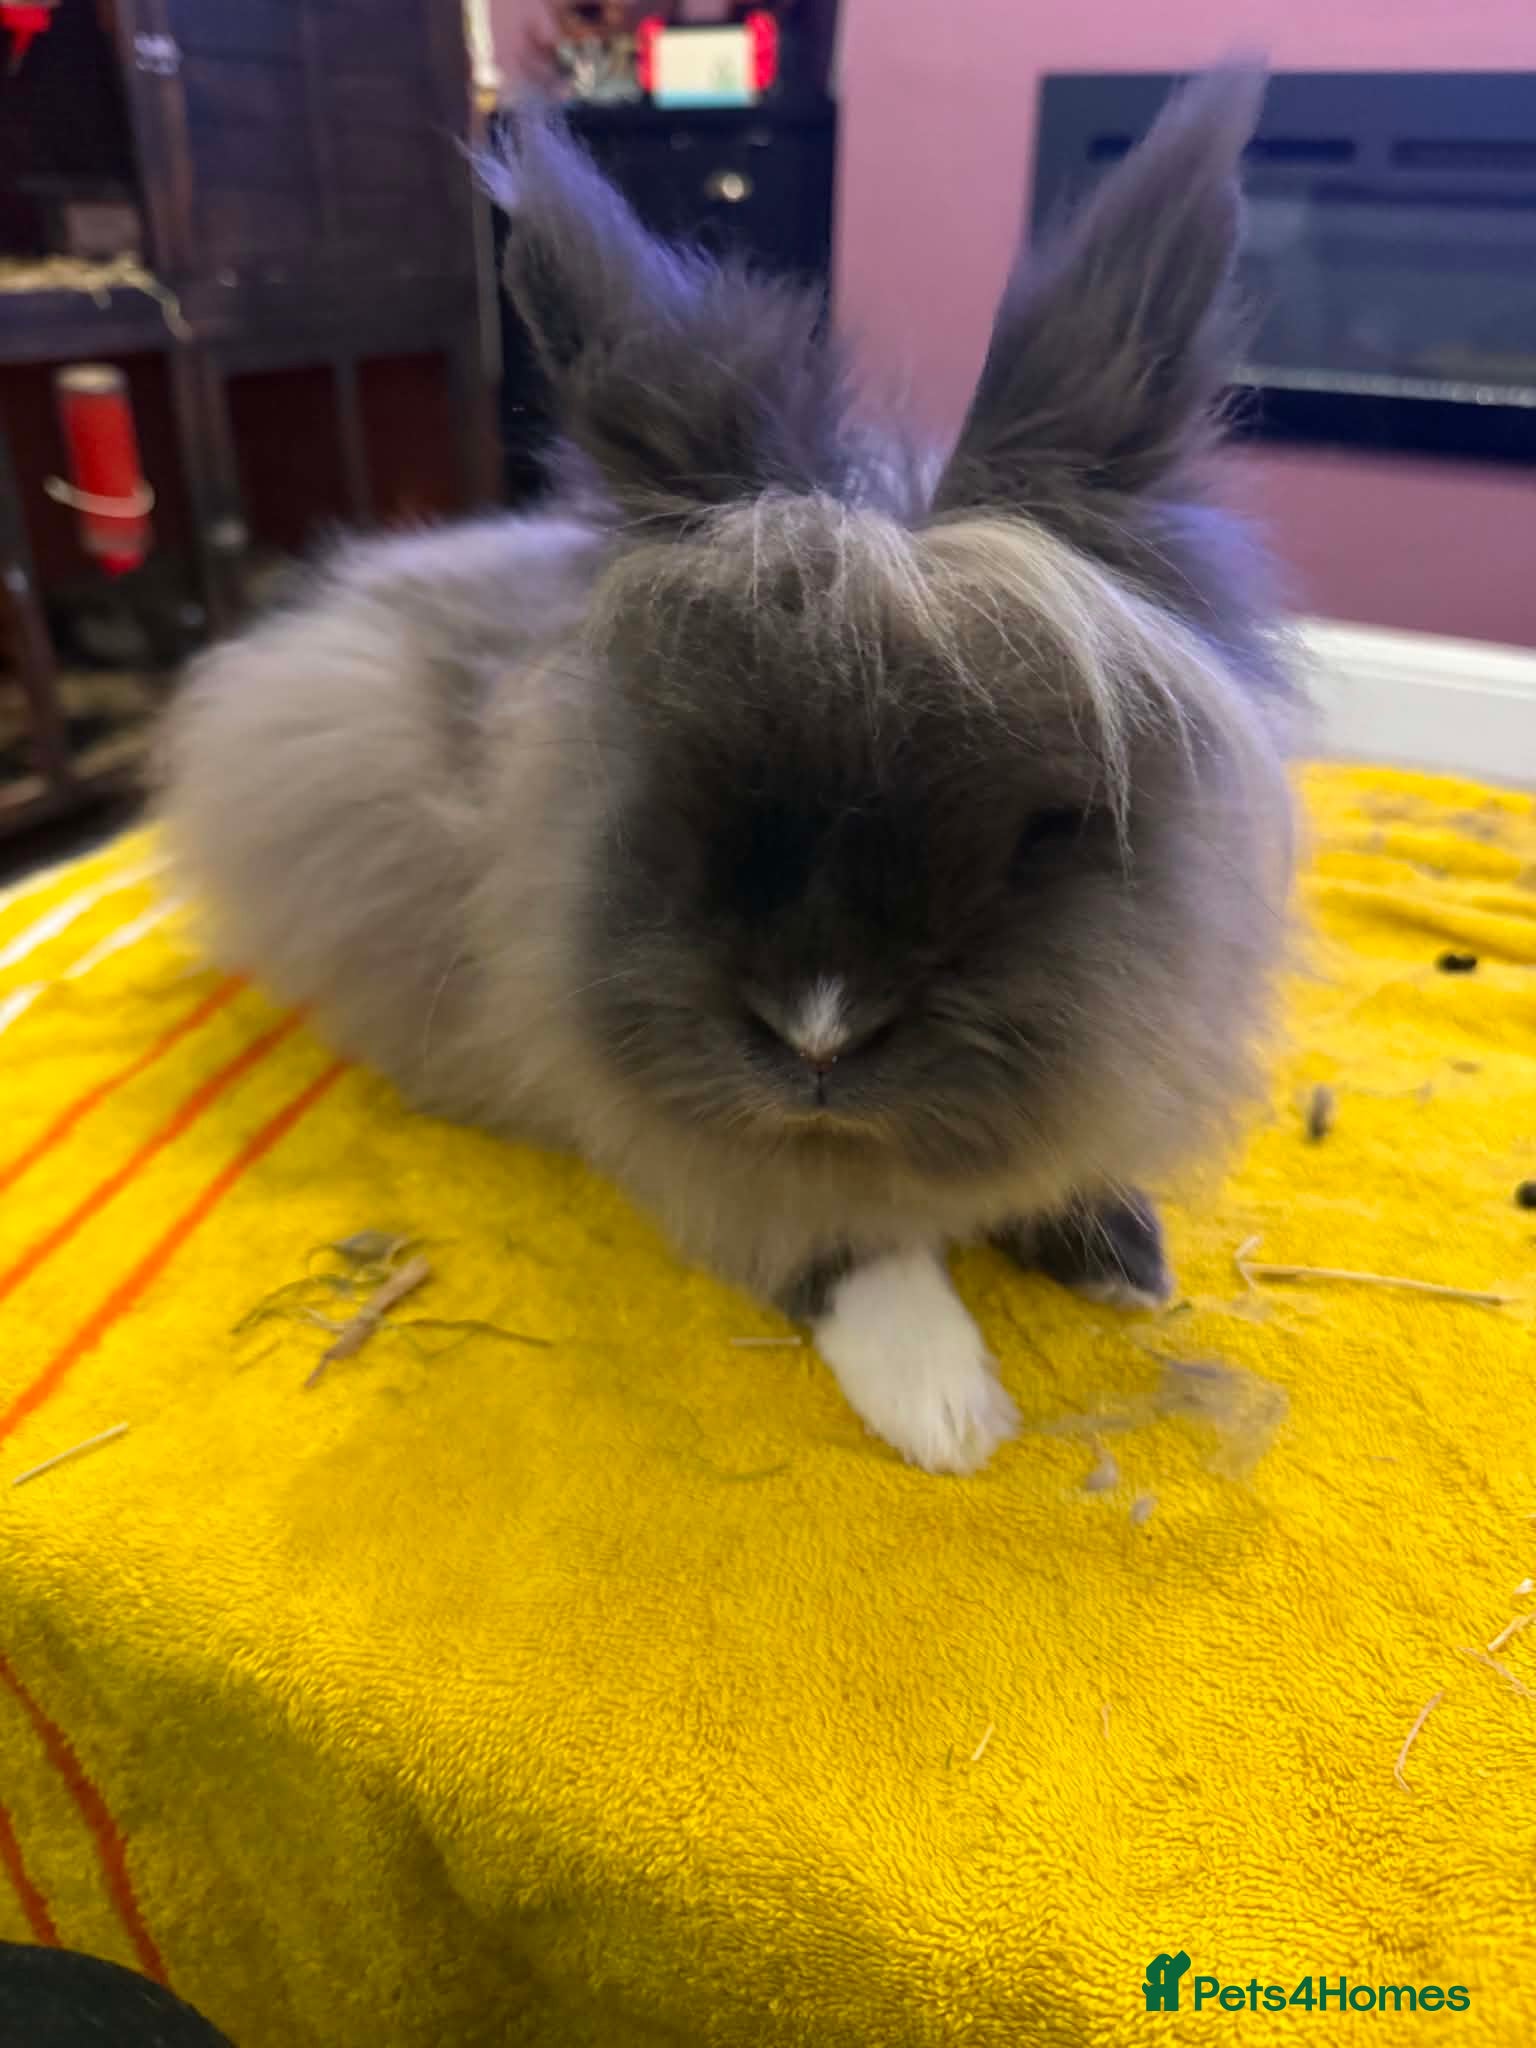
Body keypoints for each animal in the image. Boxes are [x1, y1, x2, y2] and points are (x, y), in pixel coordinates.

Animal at [158, 66, 1297, 1475]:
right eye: (671, 786)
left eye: (1044, 827)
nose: (819, 1033)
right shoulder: (685, 1146)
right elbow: (842, 1250)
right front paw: (950, 1412)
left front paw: (1131, 1266)